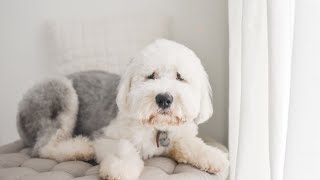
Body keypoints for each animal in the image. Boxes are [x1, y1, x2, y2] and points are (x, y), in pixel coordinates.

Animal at [16, 39, 228, 180]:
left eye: (180, 77)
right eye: (151, 76)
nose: (164, 98)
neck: (156, 127)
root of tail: (20, 109)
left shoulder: (179, 136)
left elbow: (192, 145)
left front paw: (214, 157)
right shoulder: (104, 136)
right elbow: (123, 147)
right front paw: (119, 168)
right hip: (60, 92)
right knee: (43, 147)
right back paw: (81, 148)